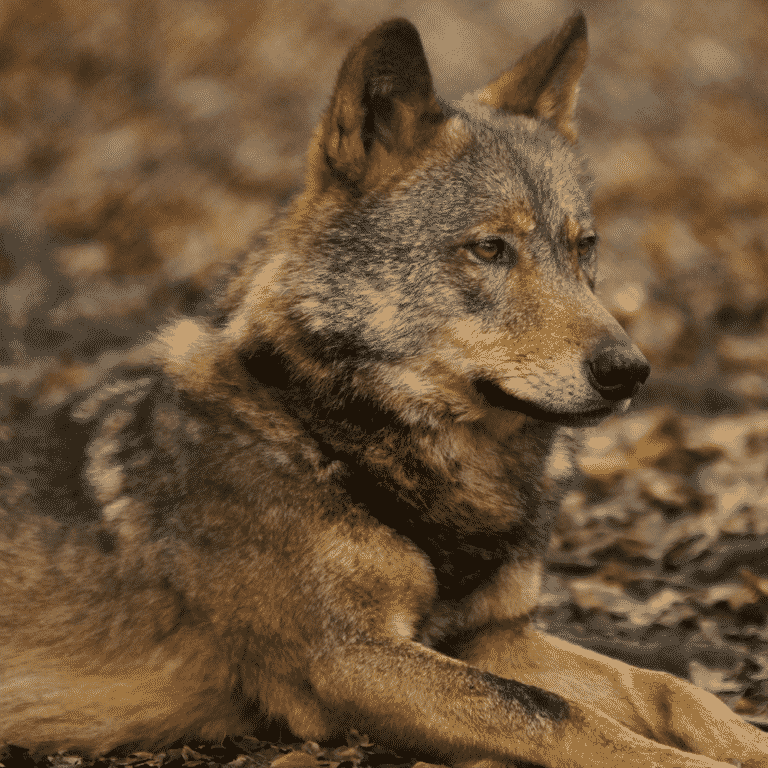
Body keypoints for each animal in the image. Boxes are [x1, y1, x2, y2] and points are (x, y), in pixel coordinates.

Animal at [2, 11, 767, 768]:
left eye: (584, 247)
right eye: (489, 249)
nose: (628, 370)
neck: (328, 431)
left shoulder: (488, 636)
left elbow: (670, 689)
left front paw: (745, 742)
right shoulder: (347, 660)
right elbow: (556, 714)